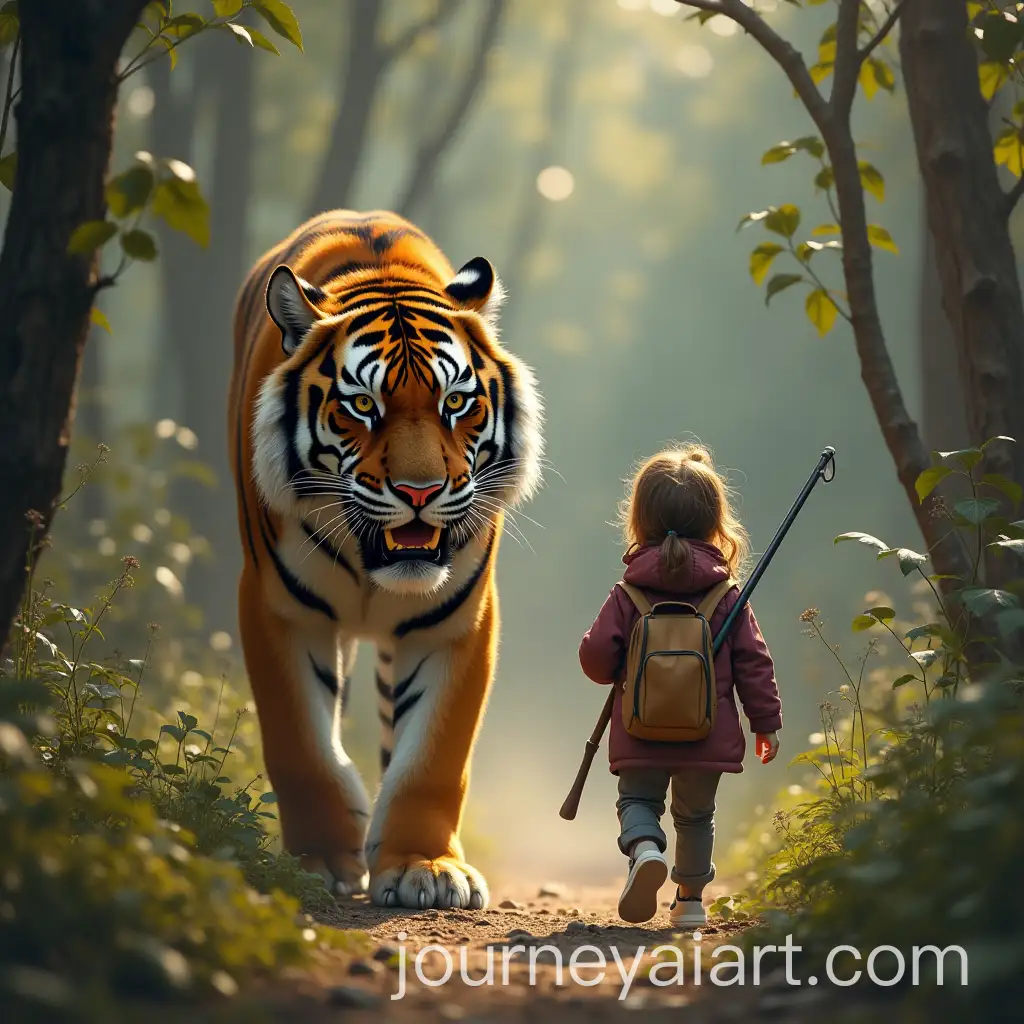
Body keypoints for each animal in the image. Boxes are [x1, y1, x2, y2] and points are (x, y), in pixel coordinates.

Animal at [228, 210, 543, 910]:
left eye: (455, 402)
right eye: (362, 406)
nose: (419, 492)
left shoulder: (458, 622)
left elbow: (433, 757)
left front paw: (424, 867)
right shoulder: (277, 608)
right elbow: (301, 746)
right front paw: (317, 863)